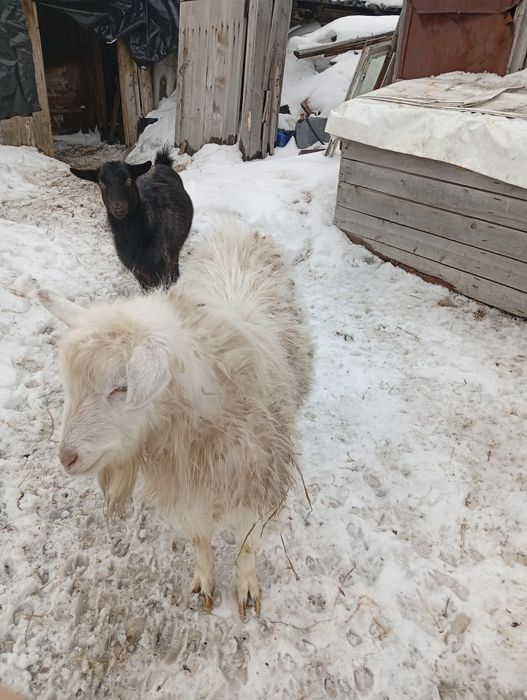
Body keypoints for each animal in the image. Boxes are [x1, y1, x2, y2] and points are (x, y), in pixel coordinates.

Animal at [38, 219, 313, 618]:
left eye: (122, 387)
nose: (67, 458)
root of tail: (239, 229)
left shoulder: (256, 484)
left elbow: (246, 545)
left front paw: (246, 588)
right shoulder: (185, 490)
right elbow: (200, 540)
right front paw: (205, 583)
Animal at [70, 147, 193, 290]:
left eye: (128, 180)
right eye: (101, 184)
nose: (118, 206)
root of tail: (162, 164)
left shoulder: (161, 267)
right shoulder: (138, 272)